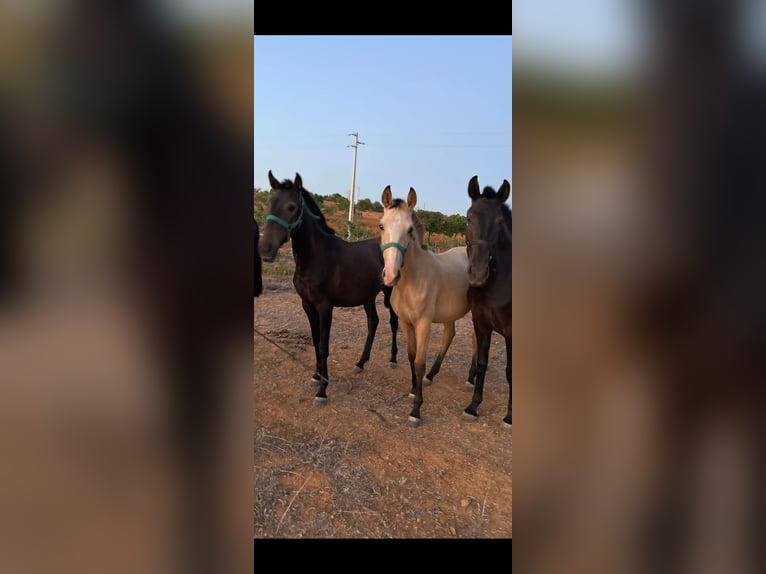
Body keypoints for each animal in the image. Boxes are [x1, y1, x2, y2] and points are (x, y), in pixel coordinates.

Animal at [260, 173, 402, 402]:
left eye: (291, 207)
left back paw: (393, 359)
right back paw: (360, 363)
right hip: (368, 297)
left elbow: (323, 346)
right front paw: (317, 376)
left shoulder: (325, 307)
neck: (316, 257)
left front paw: (322, 390)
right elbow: (316, 340)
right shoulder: (307, 305)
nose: (265, 249)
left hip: (389, 292)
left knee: (393, 322)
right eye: (270, 204)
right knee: (373, 322)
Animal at [380, 187, 474, 426]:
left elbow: (420, 361)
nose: (391, 276)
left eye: (409, 229)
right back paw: (432, 375)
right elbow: (411, 356)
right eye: (381, 225)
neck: (412, 281)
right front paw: (414, 388)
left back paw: (471, 380)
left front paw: (416, 410)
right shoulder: (405, 323)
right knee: (449, 335)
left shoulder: (423, 324)